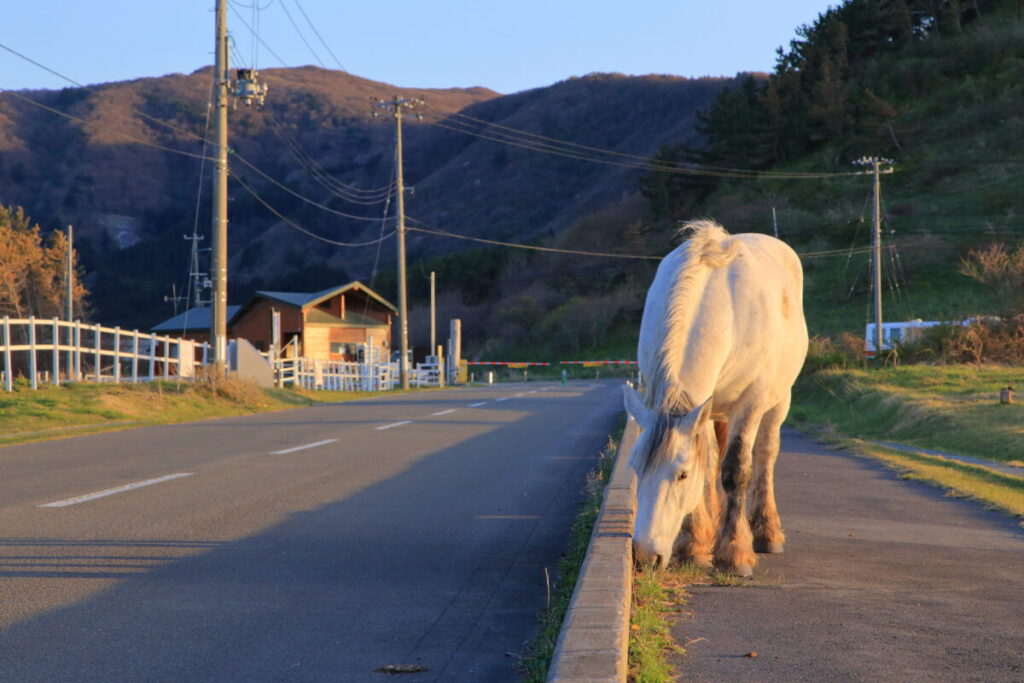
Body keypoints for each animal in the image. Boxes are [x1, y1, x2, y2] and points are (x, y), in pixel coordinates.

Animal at [622, 219, 808, 576]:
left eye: (681, 475)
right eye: (635, 467)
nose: (645, 557)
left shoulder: (749, 404)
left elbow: (735, 470)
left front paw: (734, 553)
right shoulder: (700, 408)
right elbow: (707, 467)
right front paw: (694, 546)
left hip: (780, 400)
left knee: (764, 456)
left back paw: (766, 532)